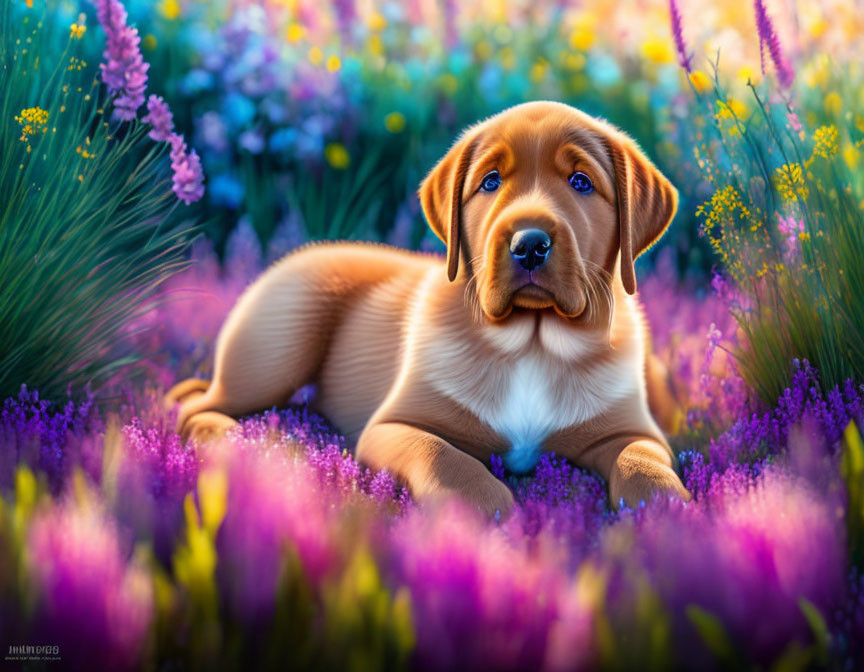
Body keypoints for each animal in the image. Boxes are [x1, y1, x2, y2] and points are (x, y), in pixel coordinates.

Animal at [169, 101, 692, 516]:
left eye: (581, 182)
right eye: (490, 182)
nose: (529, 245)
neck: (532, 342)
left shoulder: (630, 430)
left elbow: (643, 459)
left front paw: (666, 507)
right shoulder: (391, 427)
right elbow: (444, 455)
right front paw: (485, 507)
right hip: (275, 350)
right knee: (199, 407)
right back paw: (240, 443)